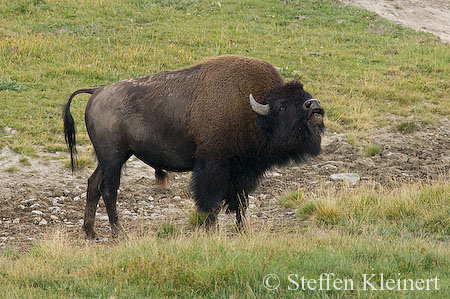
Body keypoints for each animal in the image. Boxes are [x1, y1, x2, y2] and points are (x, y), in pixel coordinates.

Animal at [62, 55, 324, 239]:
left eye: (303, 97)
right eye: (281, 106)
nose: (314, 106)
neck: (254, 111)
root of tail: (98, 91)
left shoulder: (243, 172)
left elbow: (240, 202)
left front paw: (242, 230)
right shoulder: (213, 167)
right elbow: (211, 201)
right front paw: (211, 230)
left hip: (114, 157)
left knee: (93, 185)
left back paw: (91, 232)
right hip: (113, 157)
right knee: (108, 189)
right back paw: (118, 232)